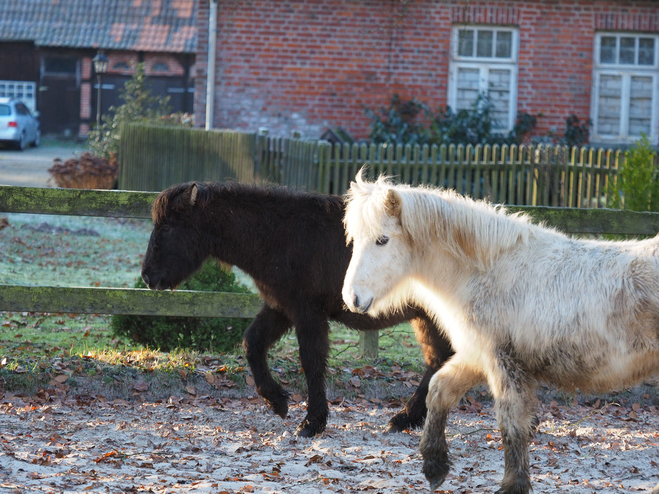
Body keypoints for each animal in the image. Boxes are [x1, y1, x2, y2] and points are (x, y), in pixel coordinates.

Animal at [142, 181, 454, 436]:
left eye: (167, 227)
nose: (147, 277)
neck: (280, 236)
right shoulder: (280, 308)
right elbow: (252, 344)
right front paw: (277, 401)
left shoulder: (308, 314)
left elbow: (311, 362)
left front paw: (312, 422)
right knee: (439, 360)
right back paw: (407, 418)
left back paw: (406, 417)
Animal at [342, 171, 656, 494]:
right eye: (354, 240)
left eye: (382, 240)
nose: (352, 298)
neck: (491, 272)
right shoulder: (475, 356)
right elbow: (439, 390)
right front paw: (434, 466)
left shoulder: (503, 362)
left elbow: (512, 423)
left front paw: (513, 485)